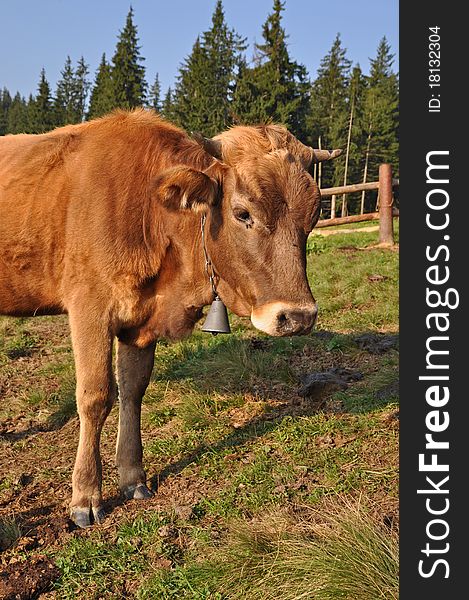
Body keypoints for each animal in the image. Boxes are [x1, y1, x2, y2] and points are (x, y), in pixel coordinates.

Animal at [0, 110, 338, 528]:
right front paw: (85, 496)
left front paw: (133, 479)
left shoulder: (141, 322)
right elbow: (95, 397)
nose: (299, 317)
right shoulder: (89, 307)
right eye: (243, 213)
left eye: (314, 214)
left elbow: (132, 391)